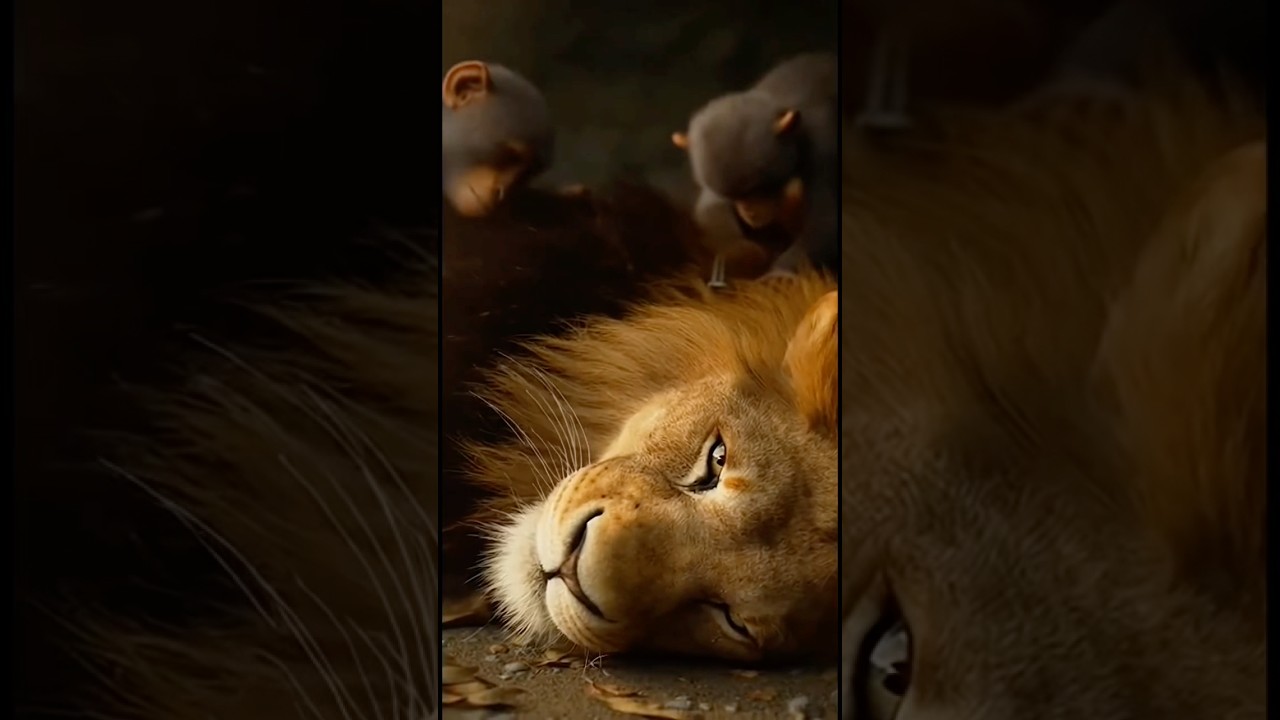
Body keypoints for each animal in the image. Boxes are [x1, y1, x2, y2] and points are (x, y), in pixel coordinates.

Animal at [672, 52, 839, 280]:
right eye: (734, 197)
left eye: (758, 189)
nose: (749, 212)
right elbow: (708, 210)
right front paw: (745, 254)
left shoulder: (823, 148)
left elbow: (826, 220)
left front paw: (779, 274)